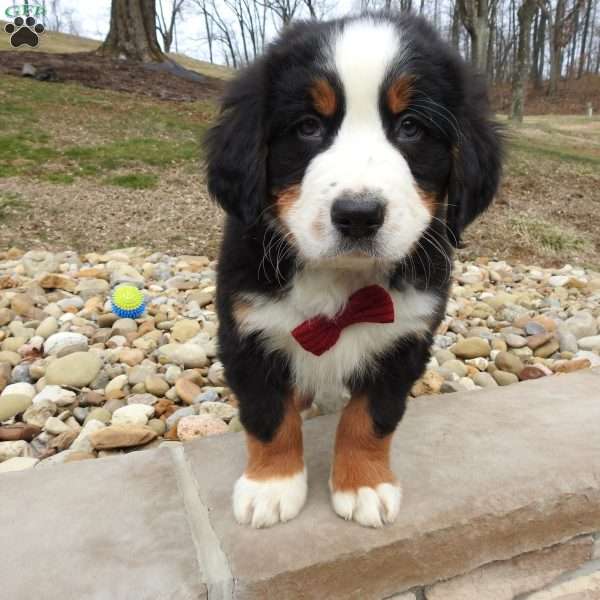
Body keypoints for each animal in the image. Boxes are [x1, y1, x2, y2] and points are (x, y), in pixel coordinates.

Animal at [206, 11, 502, 528]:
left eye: (410, 127)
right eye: (308, 126)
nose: (359, 215)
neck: (342, 282)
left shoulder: (405, 336)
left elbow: (371, 418)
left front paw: (363, 484)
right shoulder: (247, 329)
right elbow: (267, 414)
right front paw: (271, 485)